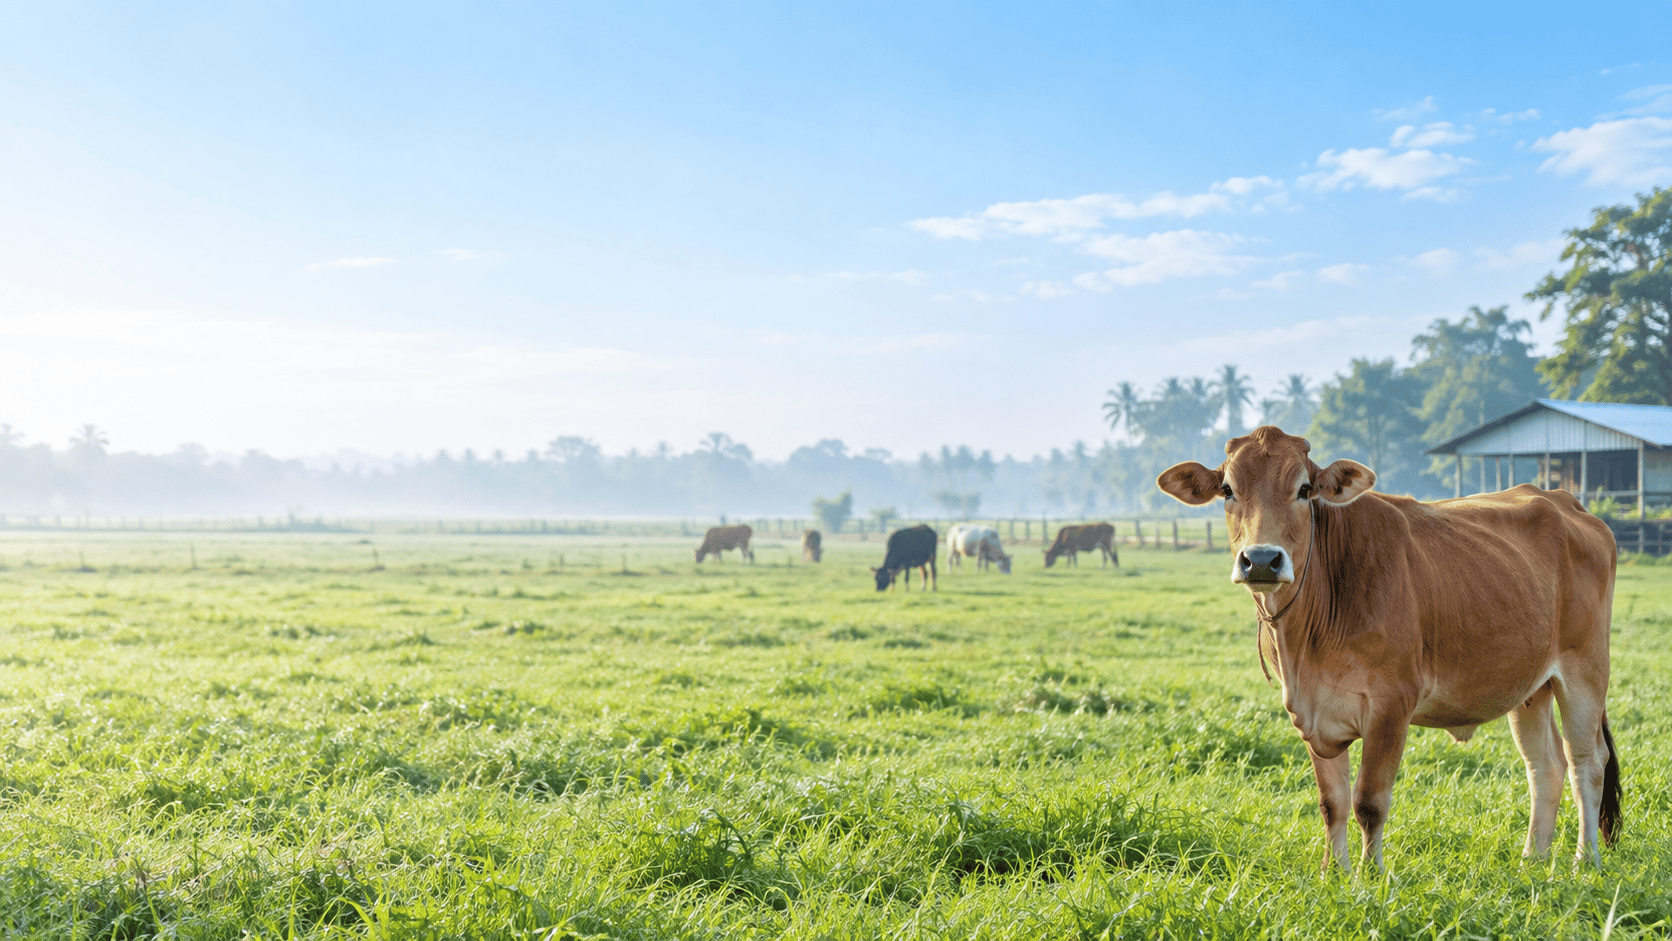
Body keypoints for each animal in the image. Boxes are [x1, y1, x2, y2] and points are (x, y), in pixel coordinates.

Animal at [1157, 426, 1620, 871]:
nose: (1261, 560)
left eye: (1304, 489)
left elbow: (1369, 802)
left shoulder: (1391, 706)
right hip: (1530, 688)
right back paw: (1532, 861)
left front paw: (1372, 876)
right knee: (1545, 766)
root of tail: (1563, 500)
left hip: (1585, 672)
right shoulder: (1311, 713)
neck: (1305, 642)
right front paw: (1334, 873)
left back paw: (1585, 860)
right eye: (1228, 490)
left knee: (1587, 761)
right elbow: (1332, 803)